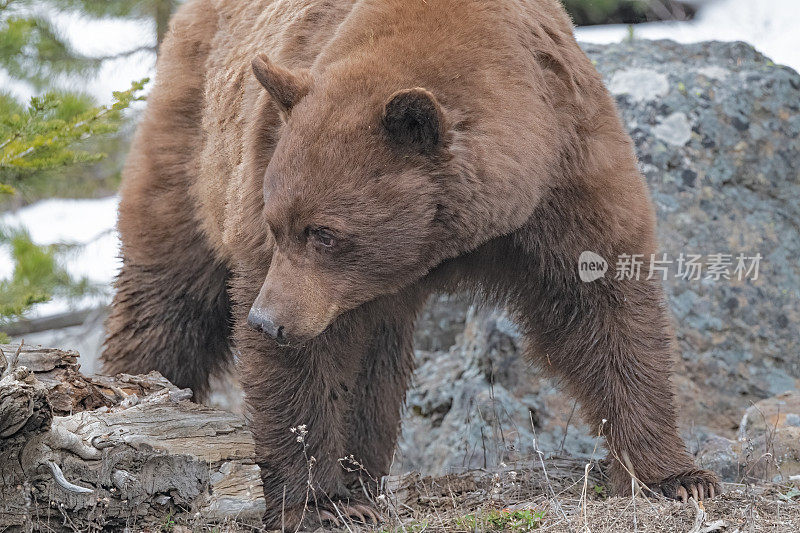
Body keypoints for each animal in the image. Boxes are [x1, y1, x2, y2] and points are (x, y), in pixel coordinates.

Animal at [100, 0, 720, 524]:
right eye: (279, 226)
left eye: (325, 233)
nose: (267, 321)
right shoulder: (266, 193)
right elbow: (303, 369)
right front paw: (320, 503)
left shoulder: (567, 168)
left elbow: (602, 307)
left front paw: (675, 476)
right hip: (191, 142)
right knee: (169, 293)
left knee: (376, 362)